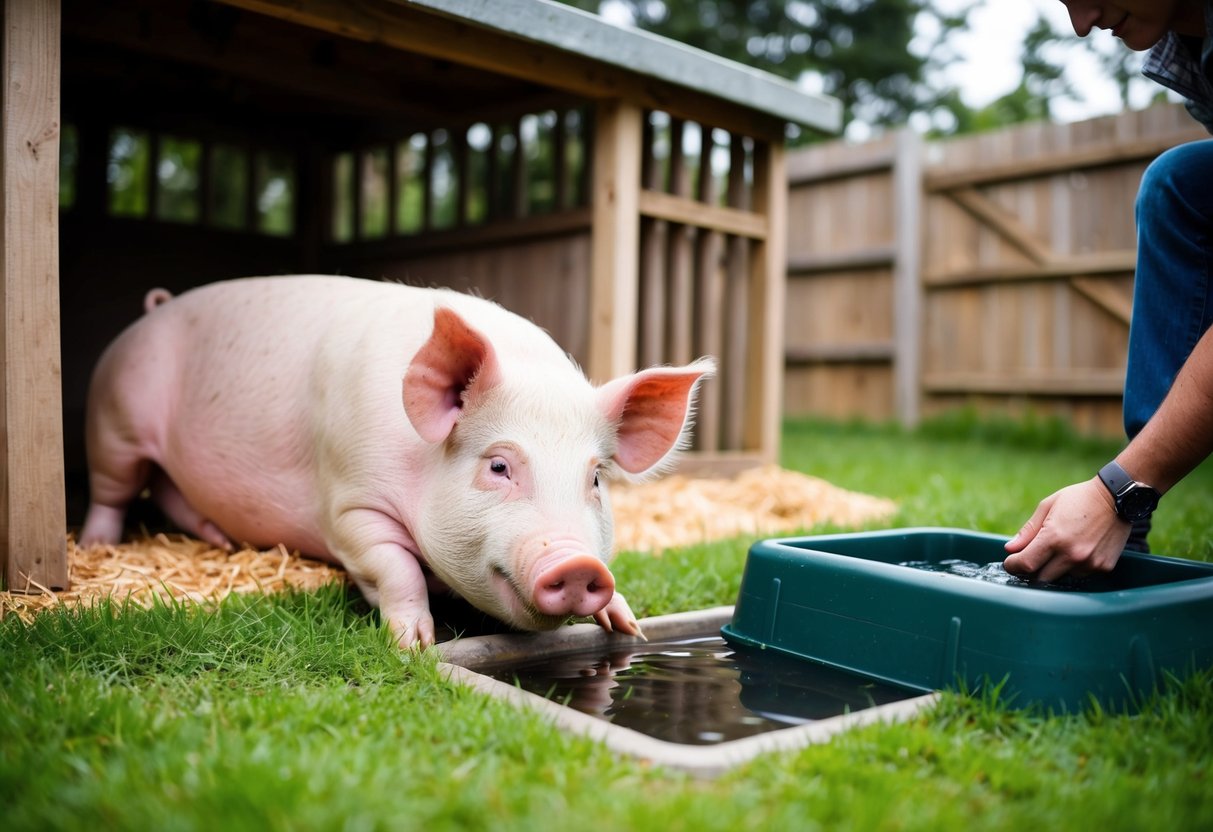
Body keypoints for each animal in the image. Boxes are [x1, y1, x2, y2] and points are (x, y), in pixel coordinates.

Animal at [79, 275, 714, 648]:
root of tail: (153, 311)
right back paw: (94, 546)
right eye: (499, 467)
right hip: (115, 420)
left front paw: (628, 627)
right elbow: (395, 567)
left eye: (596, 478)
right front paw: (413, 644)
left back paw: (219, 538)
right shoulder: (348, 507)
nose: (580, 565)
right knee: (115, 488)